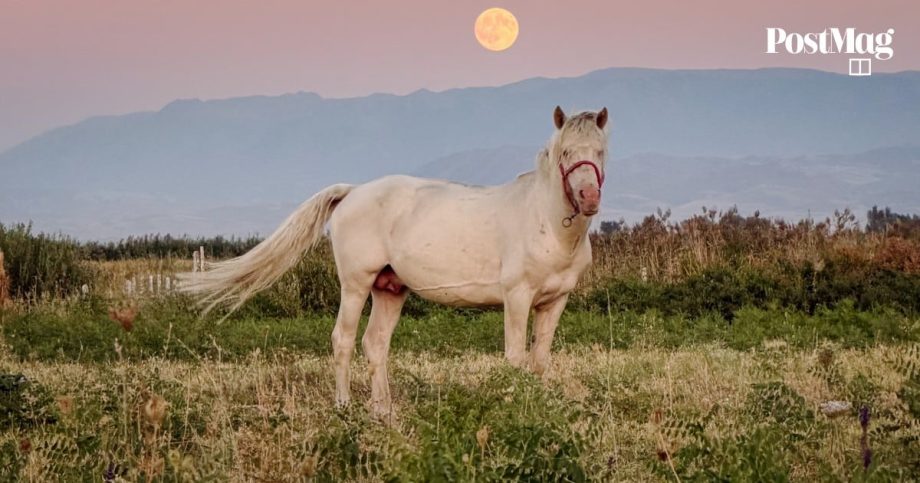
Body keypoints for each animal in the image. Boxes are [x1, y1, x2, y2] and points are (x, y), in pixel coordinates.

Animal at [179, 106, 610, 418]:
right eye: (566, 152)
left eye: (601, 152)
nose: (589, 198)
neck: (547, 223)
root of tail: (352, 191)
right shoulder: (517, 297)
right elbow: (515, 357)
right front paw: (515, 405)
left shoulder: (554, 301)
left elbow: (539, 359)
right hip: (355, 285)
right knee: (343, 340)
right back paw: (344, 407)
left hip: (389, 289)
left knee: (376, 344)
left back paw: (382, 411)